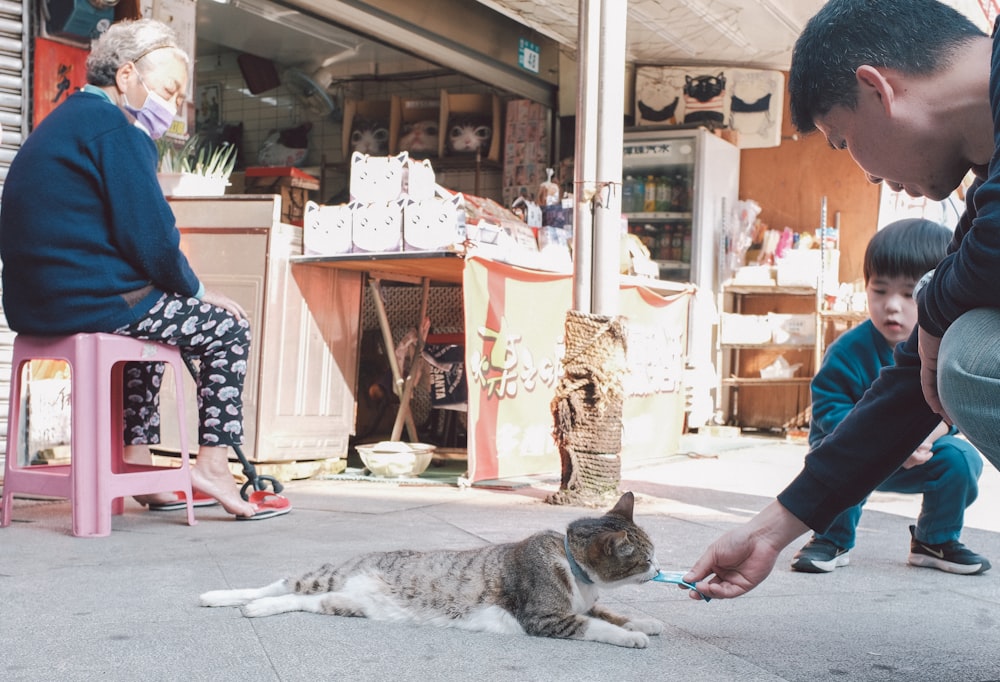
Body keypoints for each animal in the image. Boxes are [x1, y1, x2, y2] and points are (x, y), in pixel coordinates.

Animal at [198, 492, 660, 644]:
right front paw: (632, 638)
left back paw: (256, 609)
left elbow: (611, 613)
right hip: (328, 575)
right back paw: (223, 597)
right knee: (277, 585)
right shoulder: (547, 618)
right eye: (646, 556)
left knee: (299, 600)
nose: (658, 571)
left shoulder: (584, 604)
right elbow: (597, 626)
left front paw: (643, 623)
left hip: (342, 602)